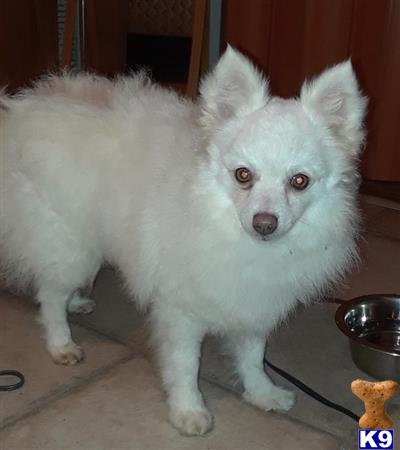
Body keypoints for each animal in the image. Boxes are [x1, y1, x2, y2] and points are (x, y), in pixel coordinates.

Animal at [0, 47, 366, 434]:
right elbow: (185, 366)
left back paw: (76, 303)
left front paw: (261, 393)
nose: (264, 223)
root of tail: (22, 109)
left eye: (299, 181)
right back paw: (61, 343)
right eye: (243, 175)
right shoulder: (181, 313)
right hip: (71, 247)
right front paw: (188, 410)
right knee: (49, 295)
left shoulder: (252, 302)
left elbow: (253, 356)